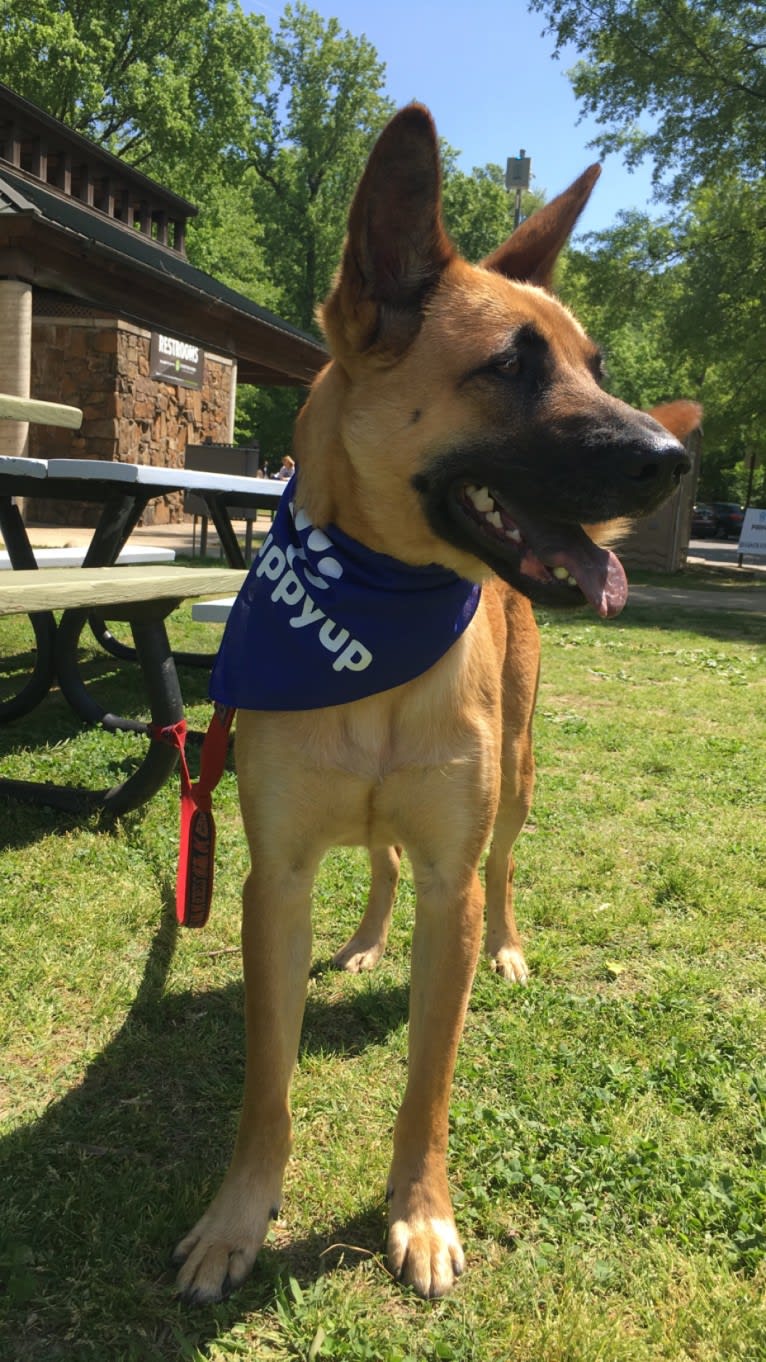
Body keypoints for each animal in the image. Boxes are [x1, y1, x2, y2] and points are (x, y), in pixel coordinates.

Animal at [175, 103, 703, 1296]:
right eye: (510, 367)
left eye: (596, 366)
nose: (673, 459)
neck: (374, 608)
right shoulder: (273, 881)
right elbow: (266, 1087)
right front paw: (236, 1218)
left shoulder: (449, 879)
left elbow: (430, 1079)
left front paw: (419, 1215)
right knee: (375, 861)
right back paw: (368, 940)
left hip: (515, 777)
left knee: (503, 865)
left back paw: (507, 947)